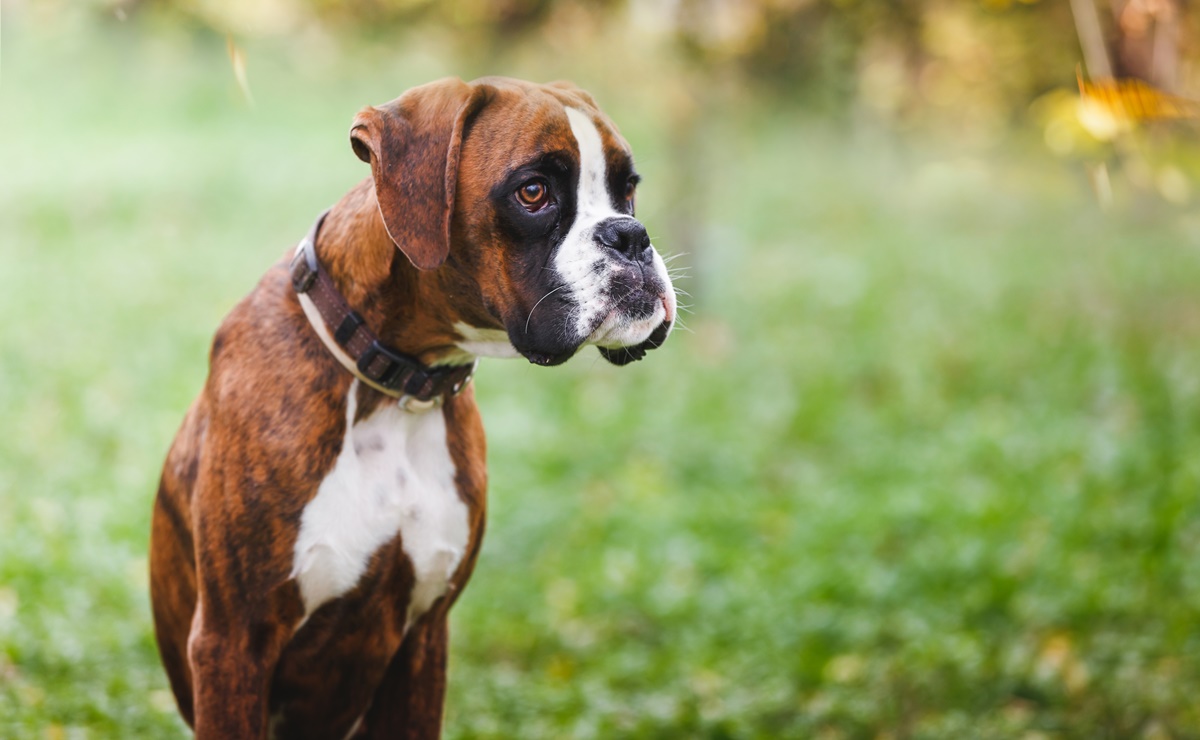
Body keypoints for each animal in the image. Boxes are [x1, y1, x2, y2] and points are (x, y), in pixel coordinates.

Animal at [147, 76, 676, 738]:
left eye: (627, 189)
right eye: (533, 192)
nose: (631, 235)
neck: (398, 388)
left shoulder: (424, 639)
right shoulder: (232, 643)